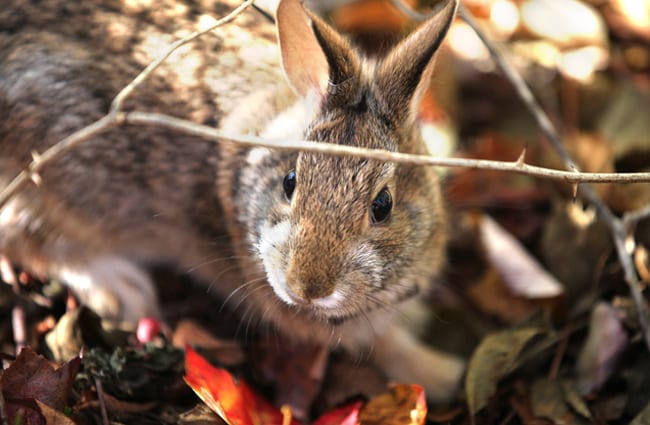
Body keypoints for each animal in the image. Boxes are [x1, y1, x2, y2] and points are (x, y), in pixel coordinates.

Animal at [2, 0, 464, 400]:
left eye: (382, 205)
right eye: (290, 182)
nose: (305, 288)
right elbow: (384, 342)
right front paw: (443, 374)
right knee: (26, 238)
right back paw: (120, 290)